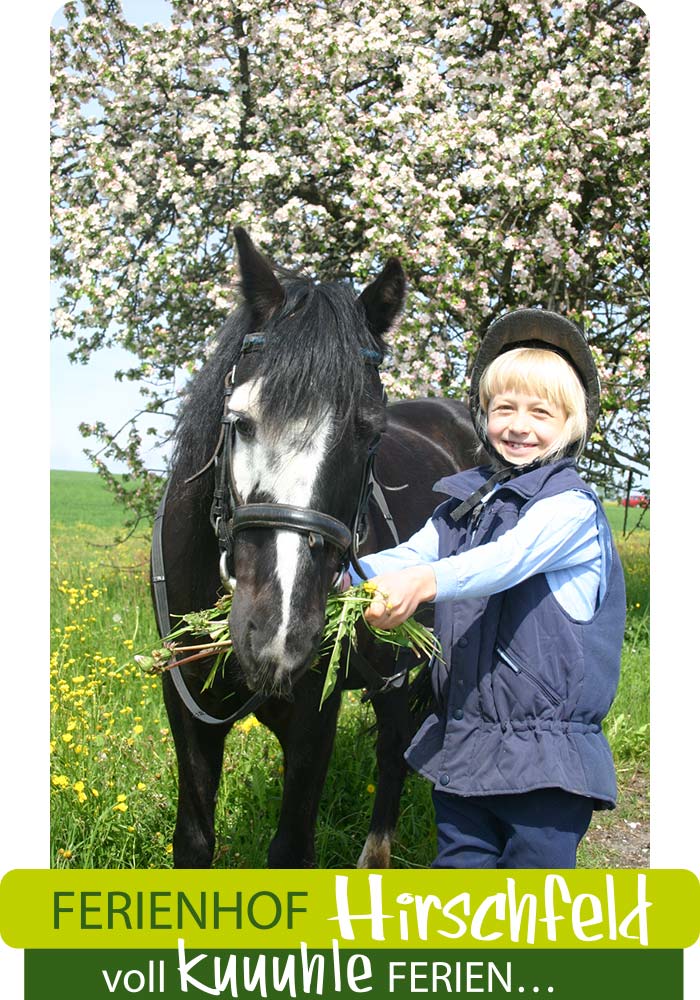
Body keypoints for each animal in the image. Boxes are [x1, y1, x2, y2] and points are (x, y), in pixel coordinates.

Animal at [153, 230, 482, 872]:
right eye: (240, 420)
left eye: (371, 432)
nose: (278, 634)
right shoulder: (189, 712)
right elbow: (193, 843)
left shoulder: (312, 722)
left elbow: (290, 850)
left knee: (394, 749)